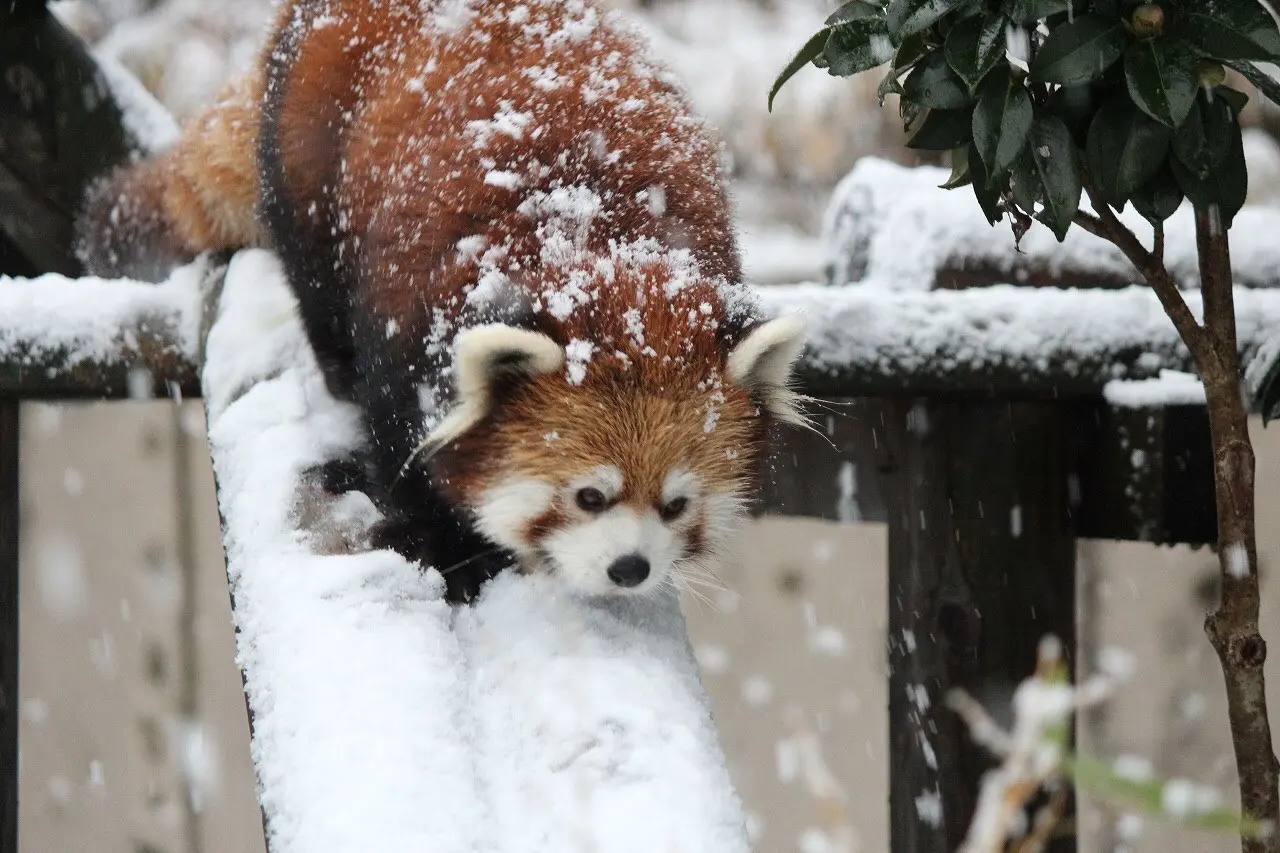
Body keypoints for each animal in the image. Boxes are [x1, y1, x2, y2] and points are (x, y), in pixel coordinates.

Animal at [74, 0, 803, 601]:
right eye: (589, 496)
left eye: (677, 504)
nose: (631, 568)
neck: (593, 228)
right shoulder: (405, 312)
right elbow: (403, 438)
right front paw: (451, 547)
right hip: (307, 152)